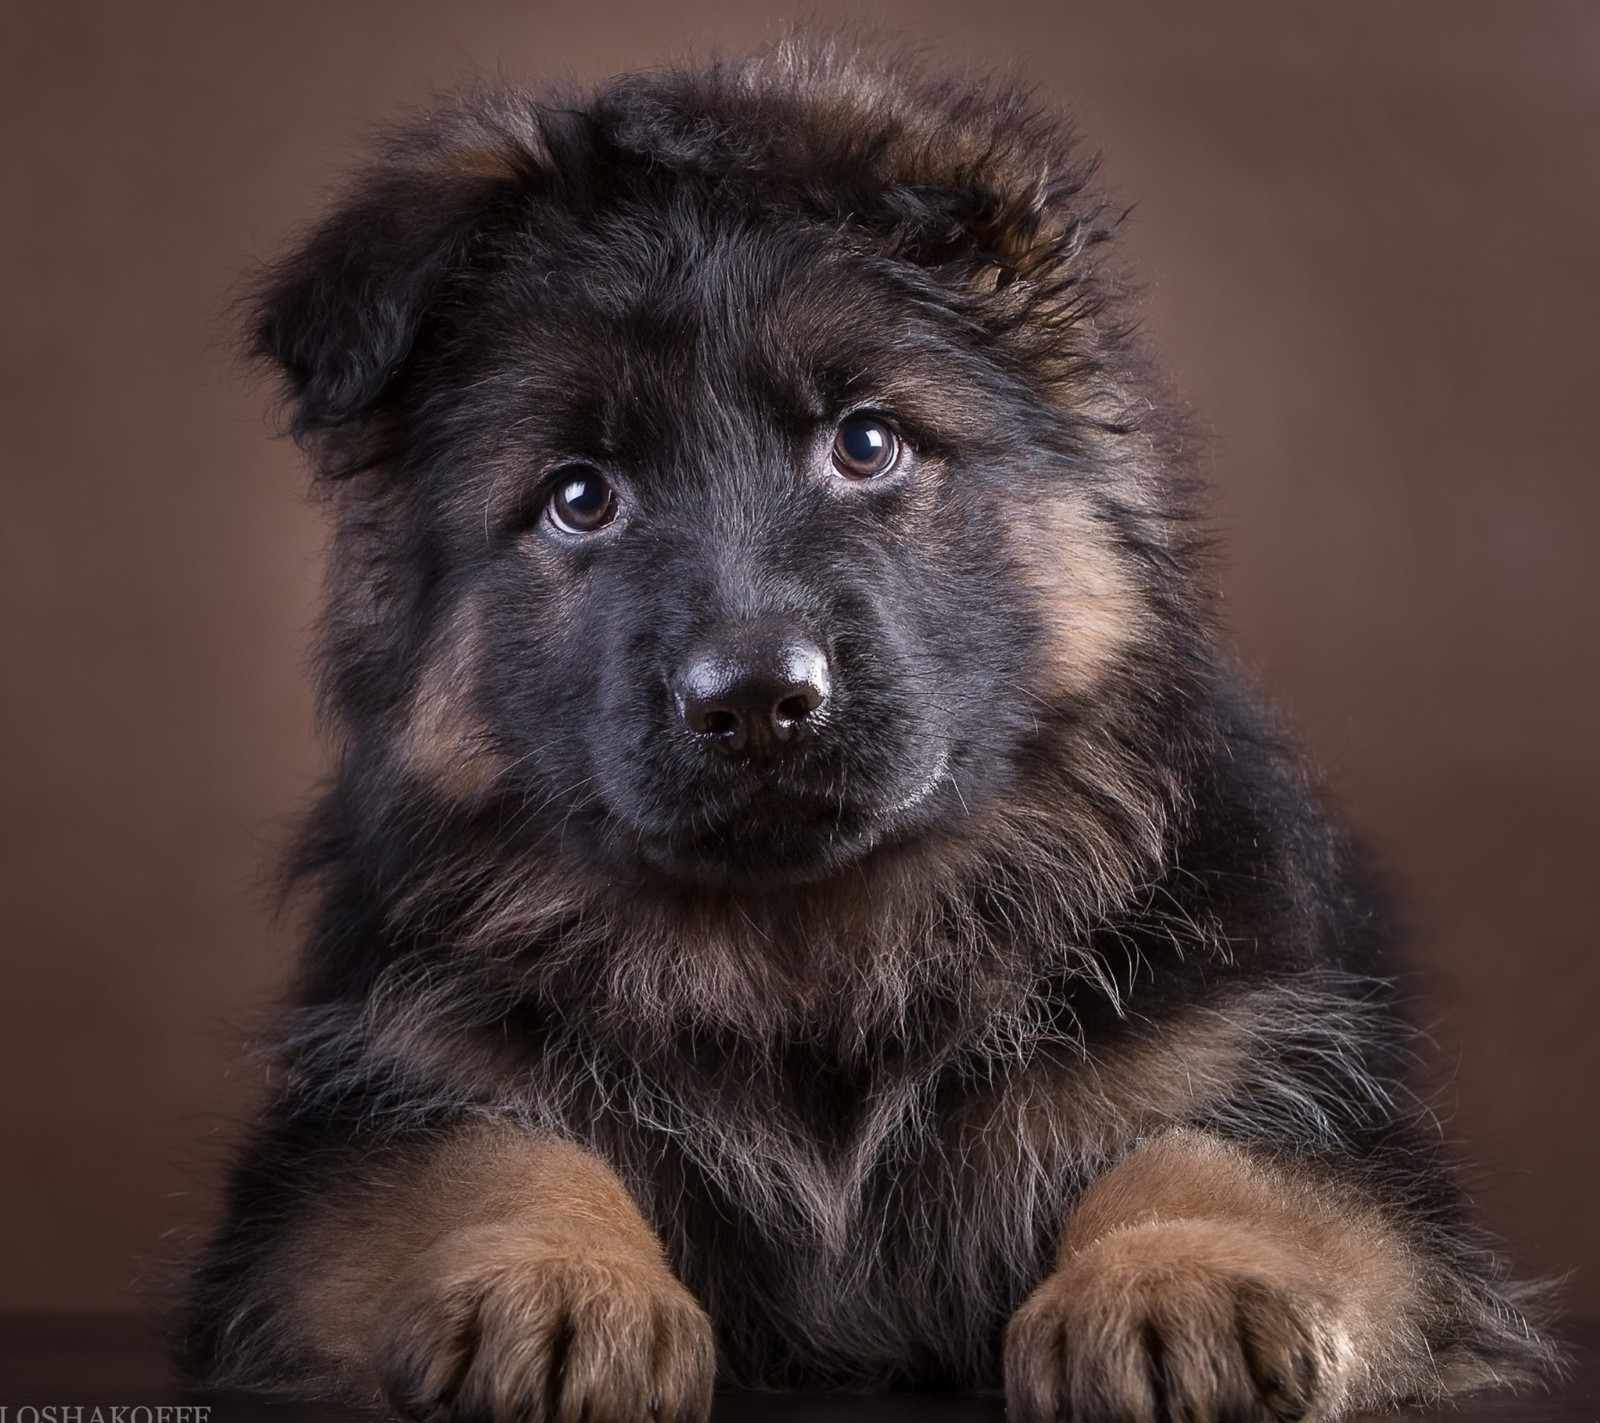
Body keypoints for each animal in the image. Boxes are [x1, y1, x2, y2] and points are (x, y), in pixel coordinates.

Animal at [181, 38, 1555, 1414]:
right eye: (578, 498)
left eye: (867, 442)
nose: (755, 701)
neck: (815, 969)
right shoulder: (370, 1120)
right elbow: (492, 1150)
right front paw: (545, 1276)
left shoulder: (1287, 1086)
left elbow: (1206, 1151)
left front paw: (1181, 1279)